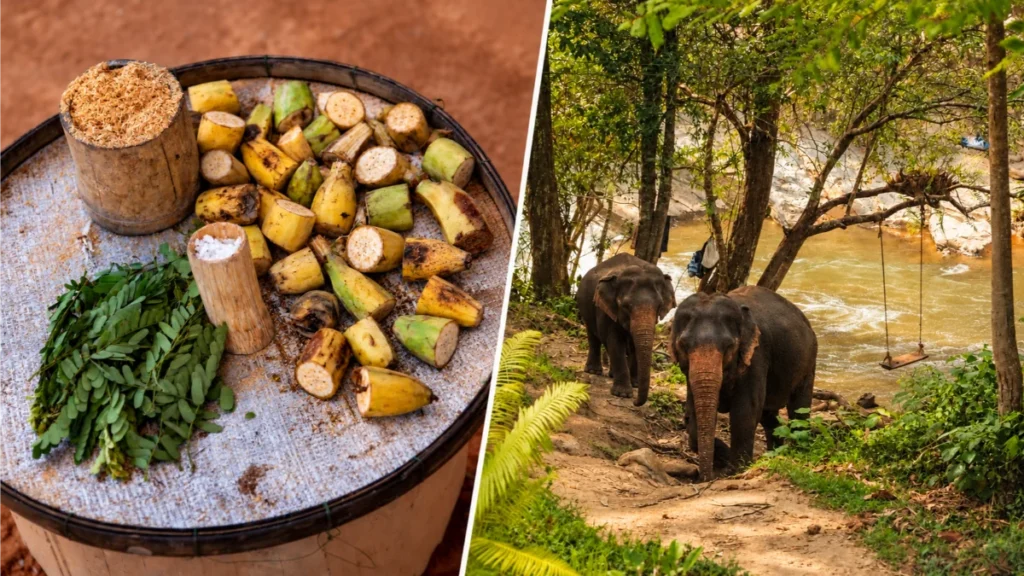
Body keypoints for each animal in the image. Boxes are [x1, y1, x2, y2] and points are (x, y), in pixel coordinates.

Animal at [577, 253, 676, 406]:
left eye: (659, 306)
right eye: (625, 306)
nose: (635, 402)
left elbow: (635, 345)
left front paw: (635, 384)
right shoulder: (606, 310)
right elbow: (614, 342)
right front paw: (623, 394)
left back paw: (612, 374)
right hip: (585, 307)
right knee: (594, 337)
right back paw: (593, 371)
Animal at [670, 286, 817, 481]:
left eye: (729, 346)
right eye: (683, 345)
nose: (705, 478)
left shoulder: (756, 356)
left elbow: (745, 411)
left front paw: (735, 470)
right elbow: (692, 417)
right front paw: (726, 459)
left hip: (808, 362)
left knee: (799, 409)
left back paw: (796, 451)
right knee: (769, 417)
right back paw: (774, 454)